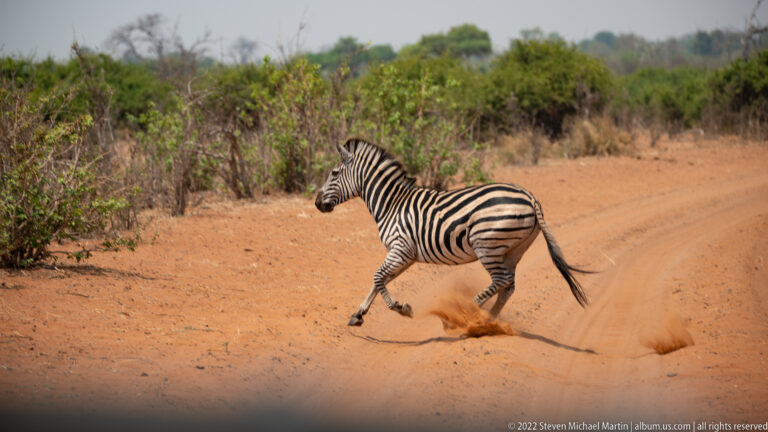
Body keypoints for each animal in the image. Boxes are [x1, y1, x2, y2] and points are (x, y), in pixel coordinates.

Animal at [314, 138, 589, 327]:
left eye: (334, 173)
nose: (317, 203)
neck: (391, 203)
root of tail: (529, 196)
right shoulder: (407, 255)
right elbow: (380, 280)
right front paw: (358, 314)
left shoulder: (400, 249)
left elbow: (378, 277)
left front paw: (401, 308)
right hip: (514, 249)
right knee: (508, 286)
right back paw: (486, 320)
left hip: (487, 244)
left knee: (501, 281)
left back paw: (466, 313)